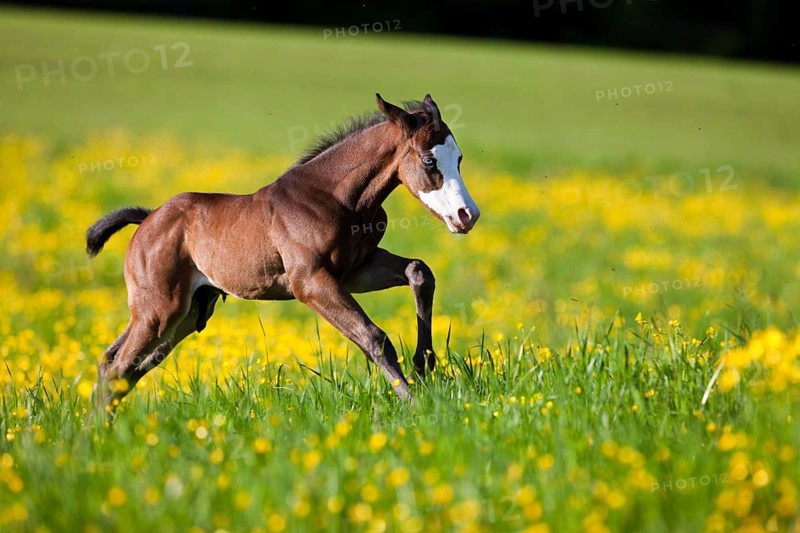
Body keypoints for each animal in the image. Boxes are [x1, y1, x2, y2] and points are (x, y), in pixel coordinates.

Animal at [86, 94, 480, 408]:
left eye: (459, 158)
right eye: (429, 160)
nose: (467, 215)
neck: (337, 199)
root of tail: (148, 219)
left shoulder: (356, 270)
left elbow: (419, 271)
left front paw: (424, 363)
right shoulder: (309, 281)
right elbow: (374, 337)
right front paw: (416, 405)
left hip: (186, 312)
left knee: (120, 364)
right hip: (158, 310)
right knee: (119, 367)